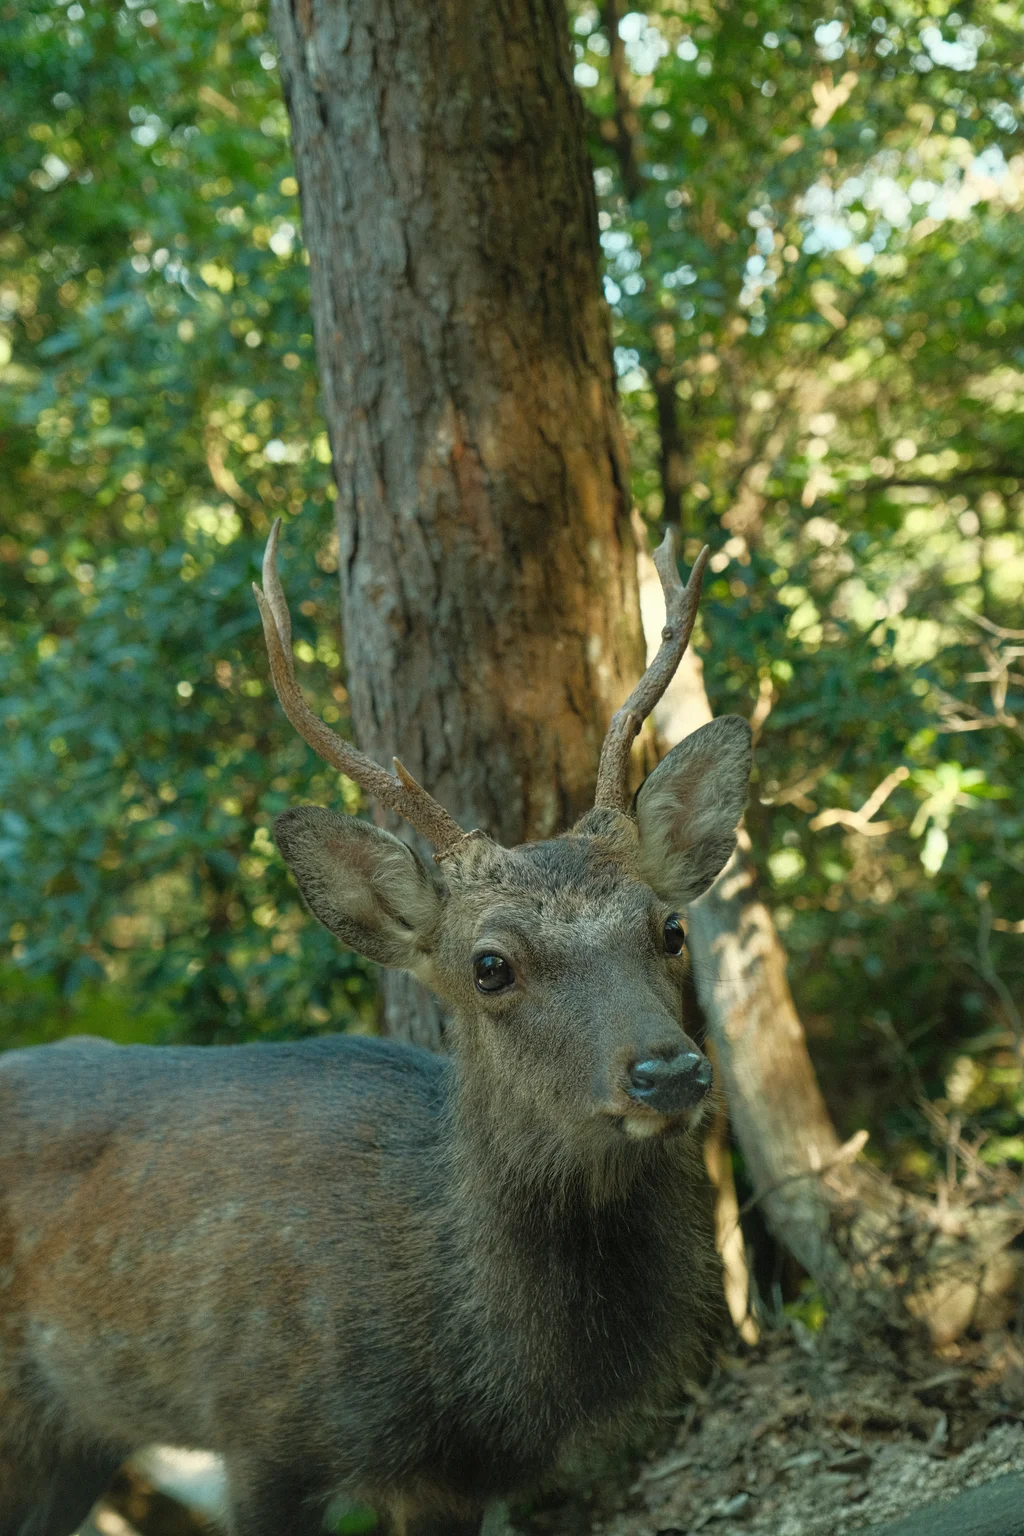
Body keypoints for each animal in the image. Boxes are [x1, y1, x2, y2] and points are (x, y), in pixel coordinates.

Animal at [0, 519, 751, 1536]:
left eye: (669, 929)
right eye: (489, 964)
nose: (668, 1073)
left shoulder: (461, 1475)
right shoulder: (261, 1424)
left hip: (73, 1437)